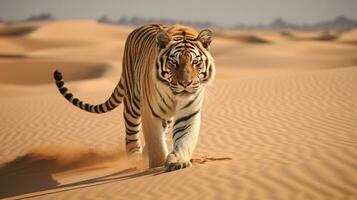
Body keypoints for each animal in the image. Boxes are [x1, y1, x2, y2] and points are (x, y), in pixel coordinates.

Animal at [52, 23, 214, 170]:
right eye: (174, 62)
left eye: (195, 62)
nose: (185, 83)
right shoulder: (150, 112)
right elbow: (155, 144)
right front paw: (157, 164)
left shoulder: (189, 112)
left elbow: (184, 139)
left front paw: (177, 162)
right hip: (133, 104)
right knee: (131, 135)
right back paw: (135, 160)